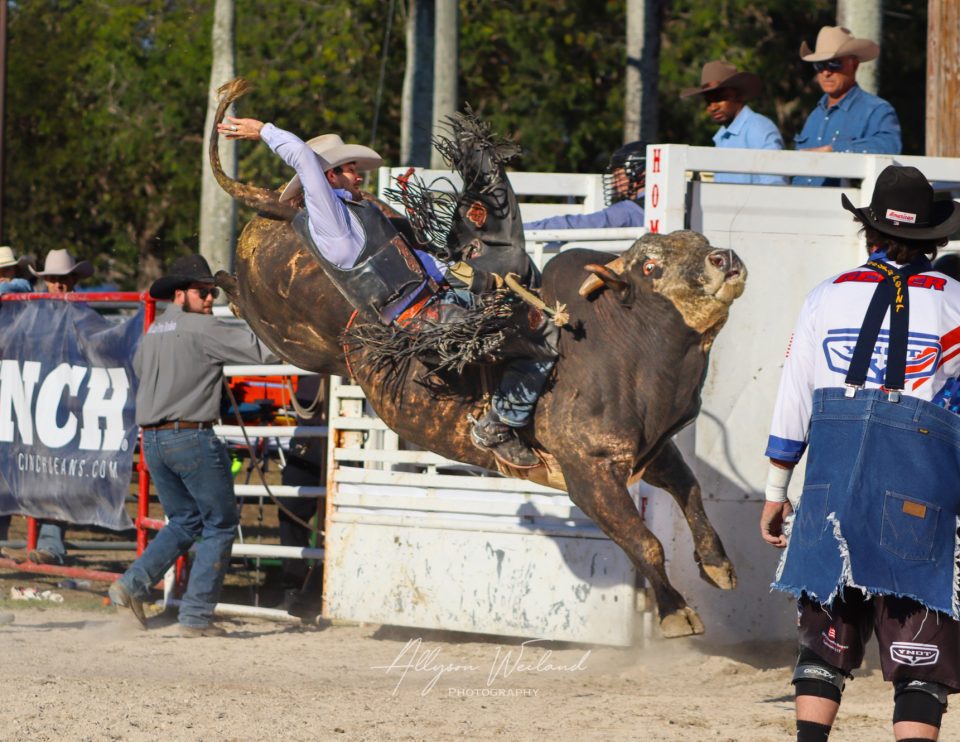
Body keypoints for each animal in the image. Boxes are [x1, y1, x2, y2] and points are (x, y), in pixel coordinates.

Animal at [210, 81, 752, 640]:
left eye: (700, 242)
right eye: (650, 266)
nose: (725, 259)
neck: (624, 349)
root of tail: (278, 205)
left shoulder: (650, 452)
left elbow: (690, 491)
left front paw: (718, 566)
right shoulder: (590, 473)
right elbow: (644, 541)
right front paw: (676, 613)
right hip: (288, 330)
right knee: (251, 299)